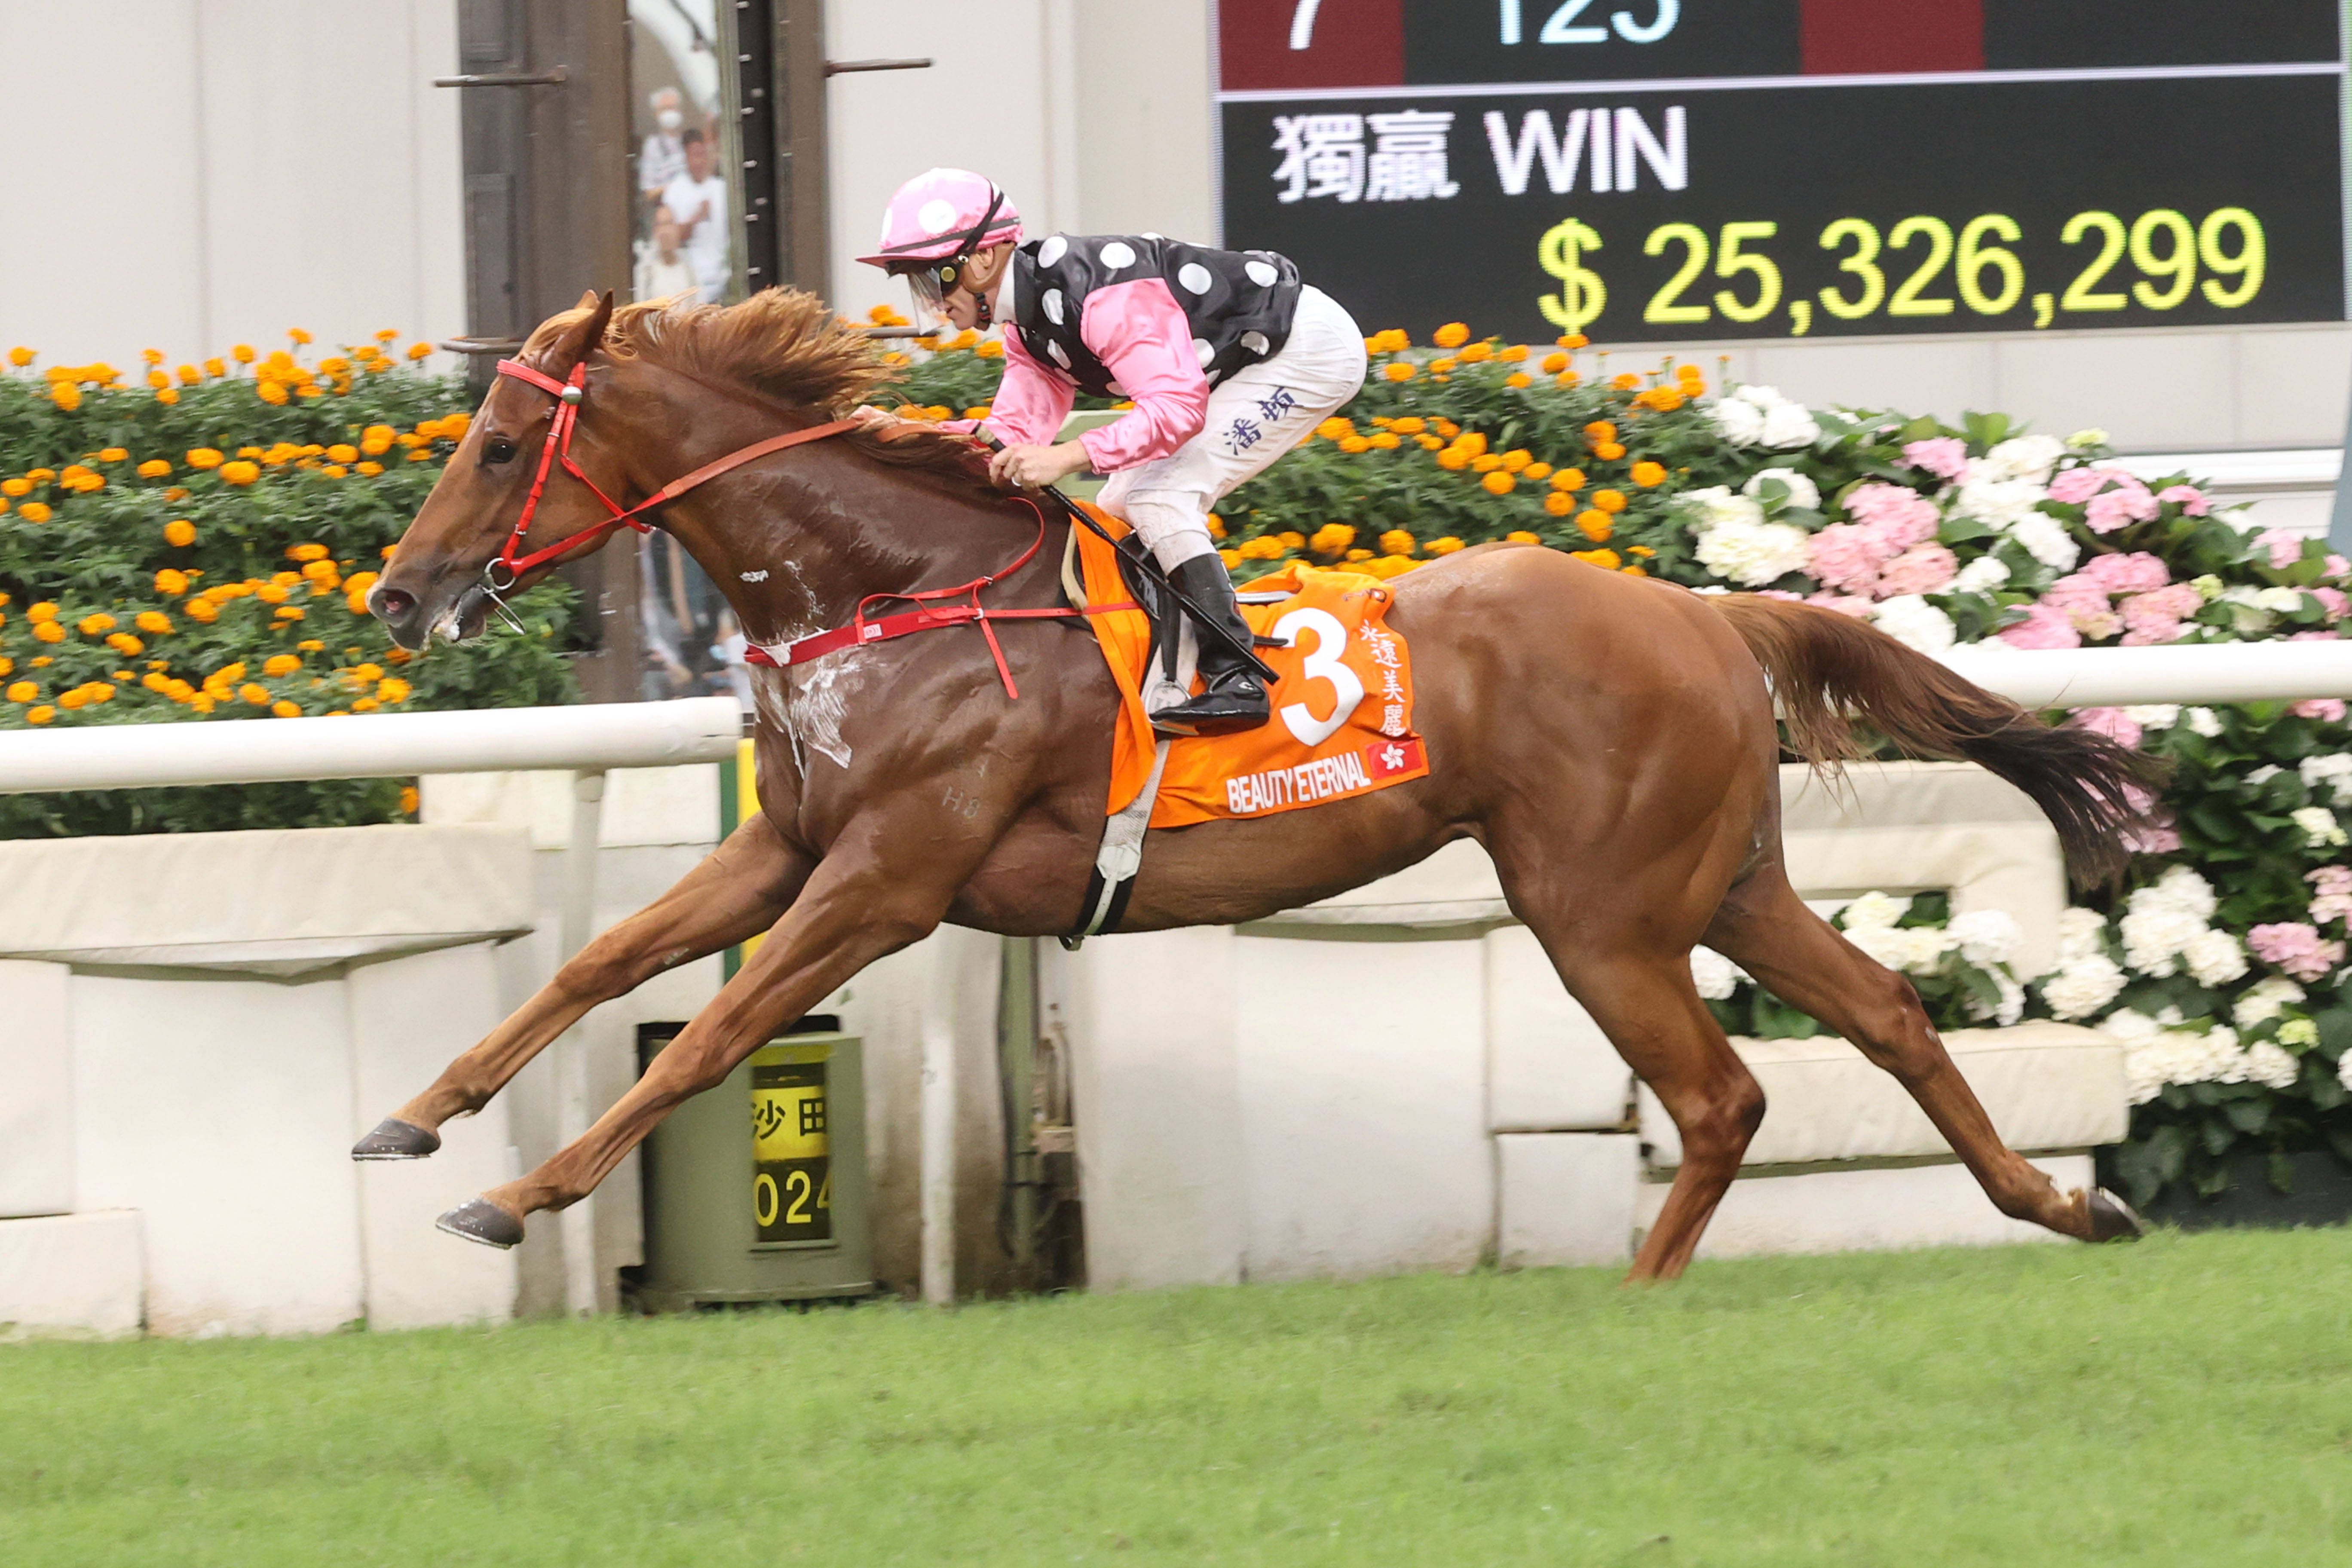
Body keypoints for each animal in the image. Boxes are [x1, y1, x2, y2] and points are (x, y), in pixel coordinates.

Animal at [355, 287, 2156, 1283]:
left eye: (502, 446)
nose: (398, 591)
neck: (895, 584)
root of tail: (1702, 607)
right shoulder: (793, 844)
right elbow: (601, 963)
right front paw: (416, 1114)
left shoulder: (887, 879)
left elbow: (714, 1032)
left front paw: (513, 1198)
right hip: (1725, 881)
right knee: (1891, 1014)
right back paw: (2064, 1206)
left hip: (1599, 909)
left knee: (1721, 1096)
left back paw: (1639, 1292)